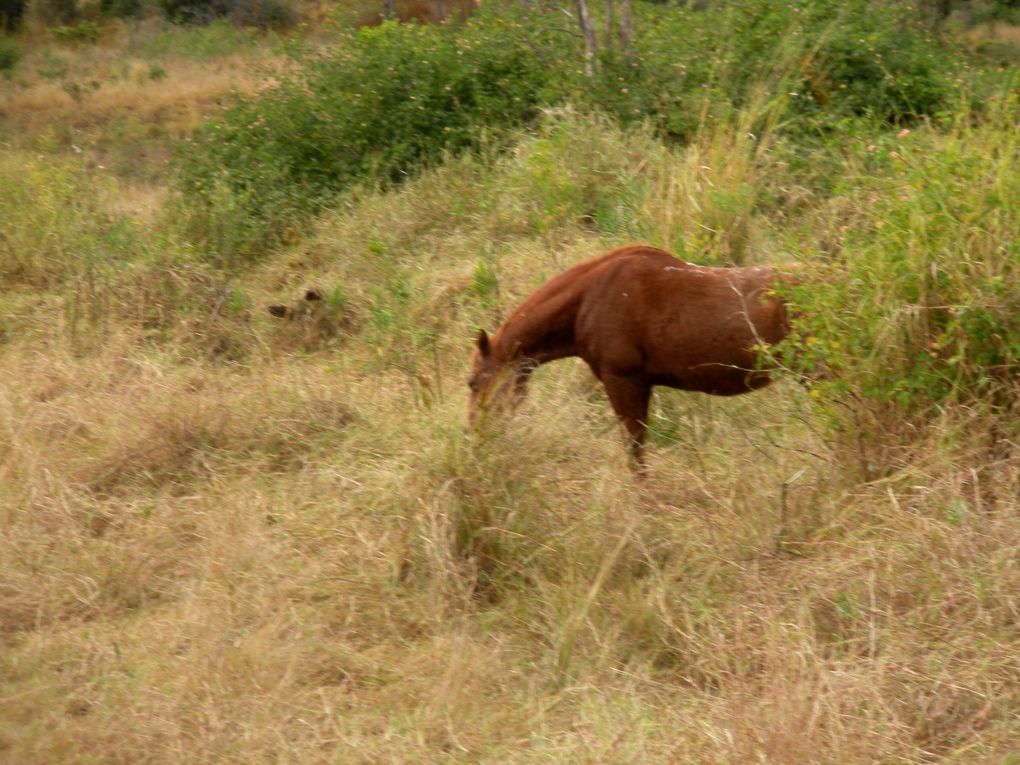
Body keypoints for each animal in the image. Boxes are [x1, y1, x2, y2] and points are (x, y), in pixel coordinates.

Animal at [467, 248, 791, 471]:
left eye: (472, 383)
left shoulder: (622, 381)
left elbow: (635, 452)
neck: (590, 296)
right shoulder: (642, 385)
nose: (475, 435)